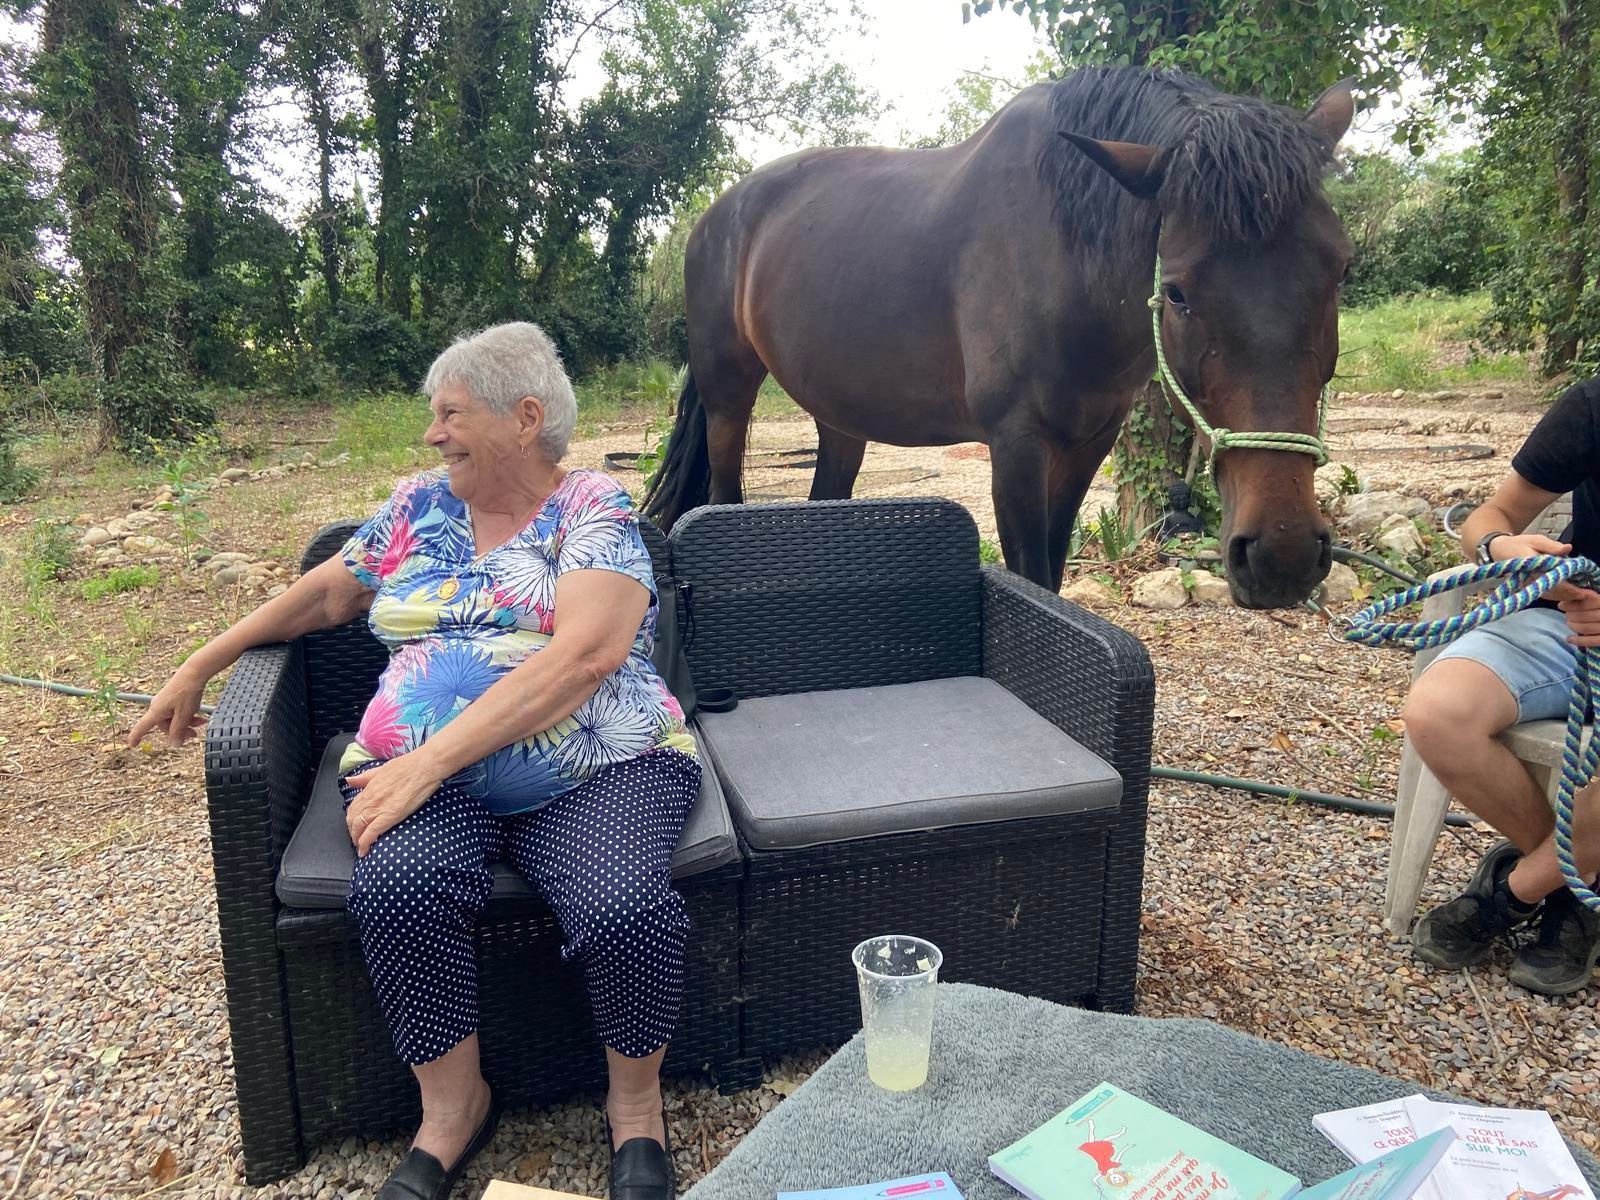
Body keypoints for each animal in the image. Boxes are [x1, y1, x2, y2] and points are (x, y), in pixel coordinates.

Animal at [642, 66, 1357, 608]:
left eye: (1340, 268)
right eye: (1177, 291)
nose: (1283, 552)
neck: (1063, 250)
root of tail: (713, 217)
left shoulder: (1087, 446)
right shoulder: (1015, 448)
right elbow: (1030, 576)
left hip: (841, 417)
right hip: (730, 400)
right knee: (721, 497)